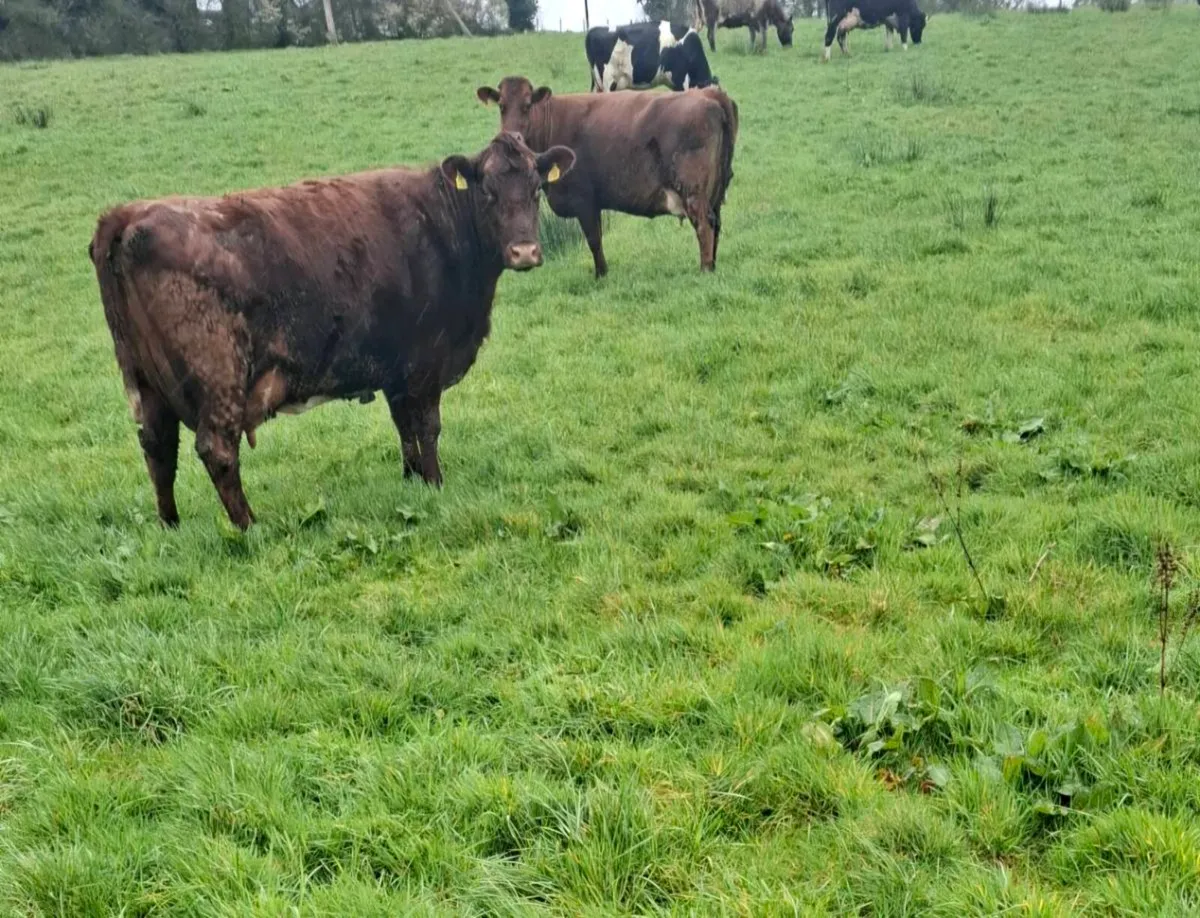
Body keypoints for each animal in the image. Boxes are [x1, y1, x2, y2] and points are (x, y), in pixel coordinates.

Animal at [89, 133, 576, 529]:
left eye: (537, 188)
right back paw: (250, 527)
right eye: (487, 192)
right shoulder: (425, 362)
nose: (525, 251)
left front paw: (412, 479)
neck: (442, 225)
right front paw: (436, 483)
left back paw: (170, 525)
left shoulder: (397, 368)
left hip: (143, 381)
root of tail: (128, 216)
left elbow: (404, 426)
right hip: (218, 374)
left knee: (158, 448)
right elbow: (428, 426)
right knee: (217, 450)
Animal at [476, 77, 737, 278]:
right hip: (715, 193)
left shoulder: (584, 201)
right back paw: (713, 267)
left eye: (527, 105)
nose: (511, 135)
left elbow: (594, 240)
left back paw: (705, 270)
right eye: (501, 105)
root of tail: (710, 94)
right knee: (716, 225)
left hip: (693, 192)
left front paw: (601, 274)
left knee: (704, 226)